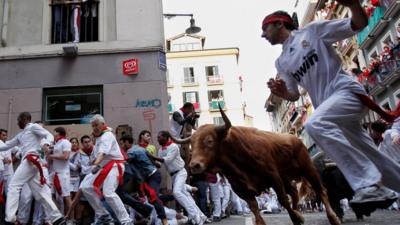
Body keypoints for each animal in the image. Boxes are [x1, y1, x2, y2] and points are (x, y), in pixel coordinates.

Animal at [172, 107, 340, 225]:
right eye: (192, 143)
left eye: (209, 141)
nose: (194, 165)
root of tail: (295, 138)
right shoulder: (241, 189)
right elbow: (254, 209)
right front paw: (296, 217)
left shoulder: (273, 177)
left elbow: (283, 200)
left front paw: (297, 217)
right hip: (287, 177)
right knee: (294, 193)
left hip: (308, 169)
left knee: (321, 190)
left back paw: (333, 218)